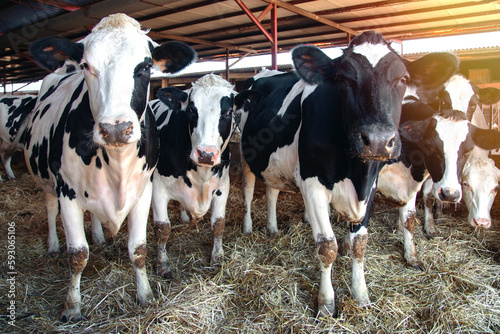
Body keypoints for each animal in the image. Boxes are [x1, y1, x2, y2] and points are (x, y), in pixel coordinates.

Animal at [24, 13, 195, 320]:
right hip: (46, 181)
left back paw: (100, 237)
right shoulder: (67, 193)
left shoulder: (143, 191)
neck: (117, 164)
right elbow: (78, 255)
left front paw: (145, 294)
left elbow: (138, 249)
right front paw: (72, 306)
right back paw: (53, 245)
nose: (115, 128)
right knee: (50, 208)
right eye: (86, 65)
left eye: (146, 66)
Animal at [149, 73, 237, 280]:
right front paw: (163, 264)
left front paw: (217, 257)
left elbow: (218, 224)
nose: (205, 153)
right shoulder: (158, 189)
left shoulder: (223, 187)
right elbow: (162, 229)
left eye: (228, 112)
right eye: (191, 109)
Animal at [236, 29, 458, 316]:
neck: (355, 171)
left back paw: (273, 228)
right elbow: (327, 246)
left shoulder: (370, 186)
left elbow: (359, 244)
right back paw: (248, 227)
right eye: (343, 78)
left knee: (273, 191)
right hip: (245, 155)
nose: (378, 140)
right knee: (249, 190)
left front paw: (361, 295)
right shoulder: (312, 186)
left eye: (403, 79)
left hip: (275, 162)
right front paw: (326, 303)